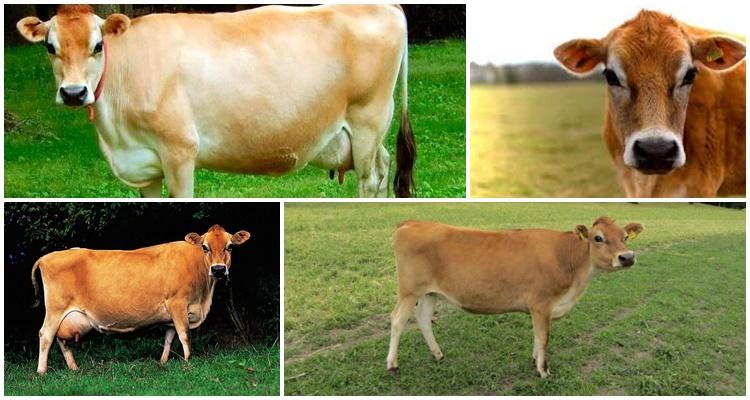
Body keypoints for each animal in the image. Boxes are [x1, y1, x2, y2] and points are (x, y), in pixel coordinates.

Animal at [16, 4, 416, 198]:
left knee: (371, 178)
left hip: (368, 118)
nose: (73, 92)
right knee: (384, 166)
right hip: (366, 133)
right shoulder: (144, 164)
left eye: (98, 45)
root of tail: (385, 4)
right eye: (50, 47)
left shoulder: (179, 151)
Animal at [29, 224, 250, 374]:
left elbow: (169, 338)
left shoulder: (171, 314)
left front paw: (163, 362)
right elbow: (184, 335)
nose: (219, 269)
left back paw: (74, 368)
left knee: (61, 340)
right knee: (45, 335)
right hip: (55, 309)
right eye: (205, 247)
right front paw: (189, 361)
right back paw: (42, 371)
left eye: (230, 246)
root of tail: (47, 256)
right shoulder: (178, 303)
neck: (204, 294)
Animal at [386, 217, 644, 378]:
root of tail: (412, 223)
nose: (627, 257)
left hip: (429, 292)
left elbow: (537, 336)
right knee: (398, 319)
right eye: (598, 238)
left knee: (423, 318)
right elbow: (543, 337)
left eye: (625, 237)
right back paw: (392, 365)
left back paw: (438, 355)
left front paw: (534, 360)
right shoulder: (541, 304)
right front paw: (543, 370)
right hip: (409, 291)